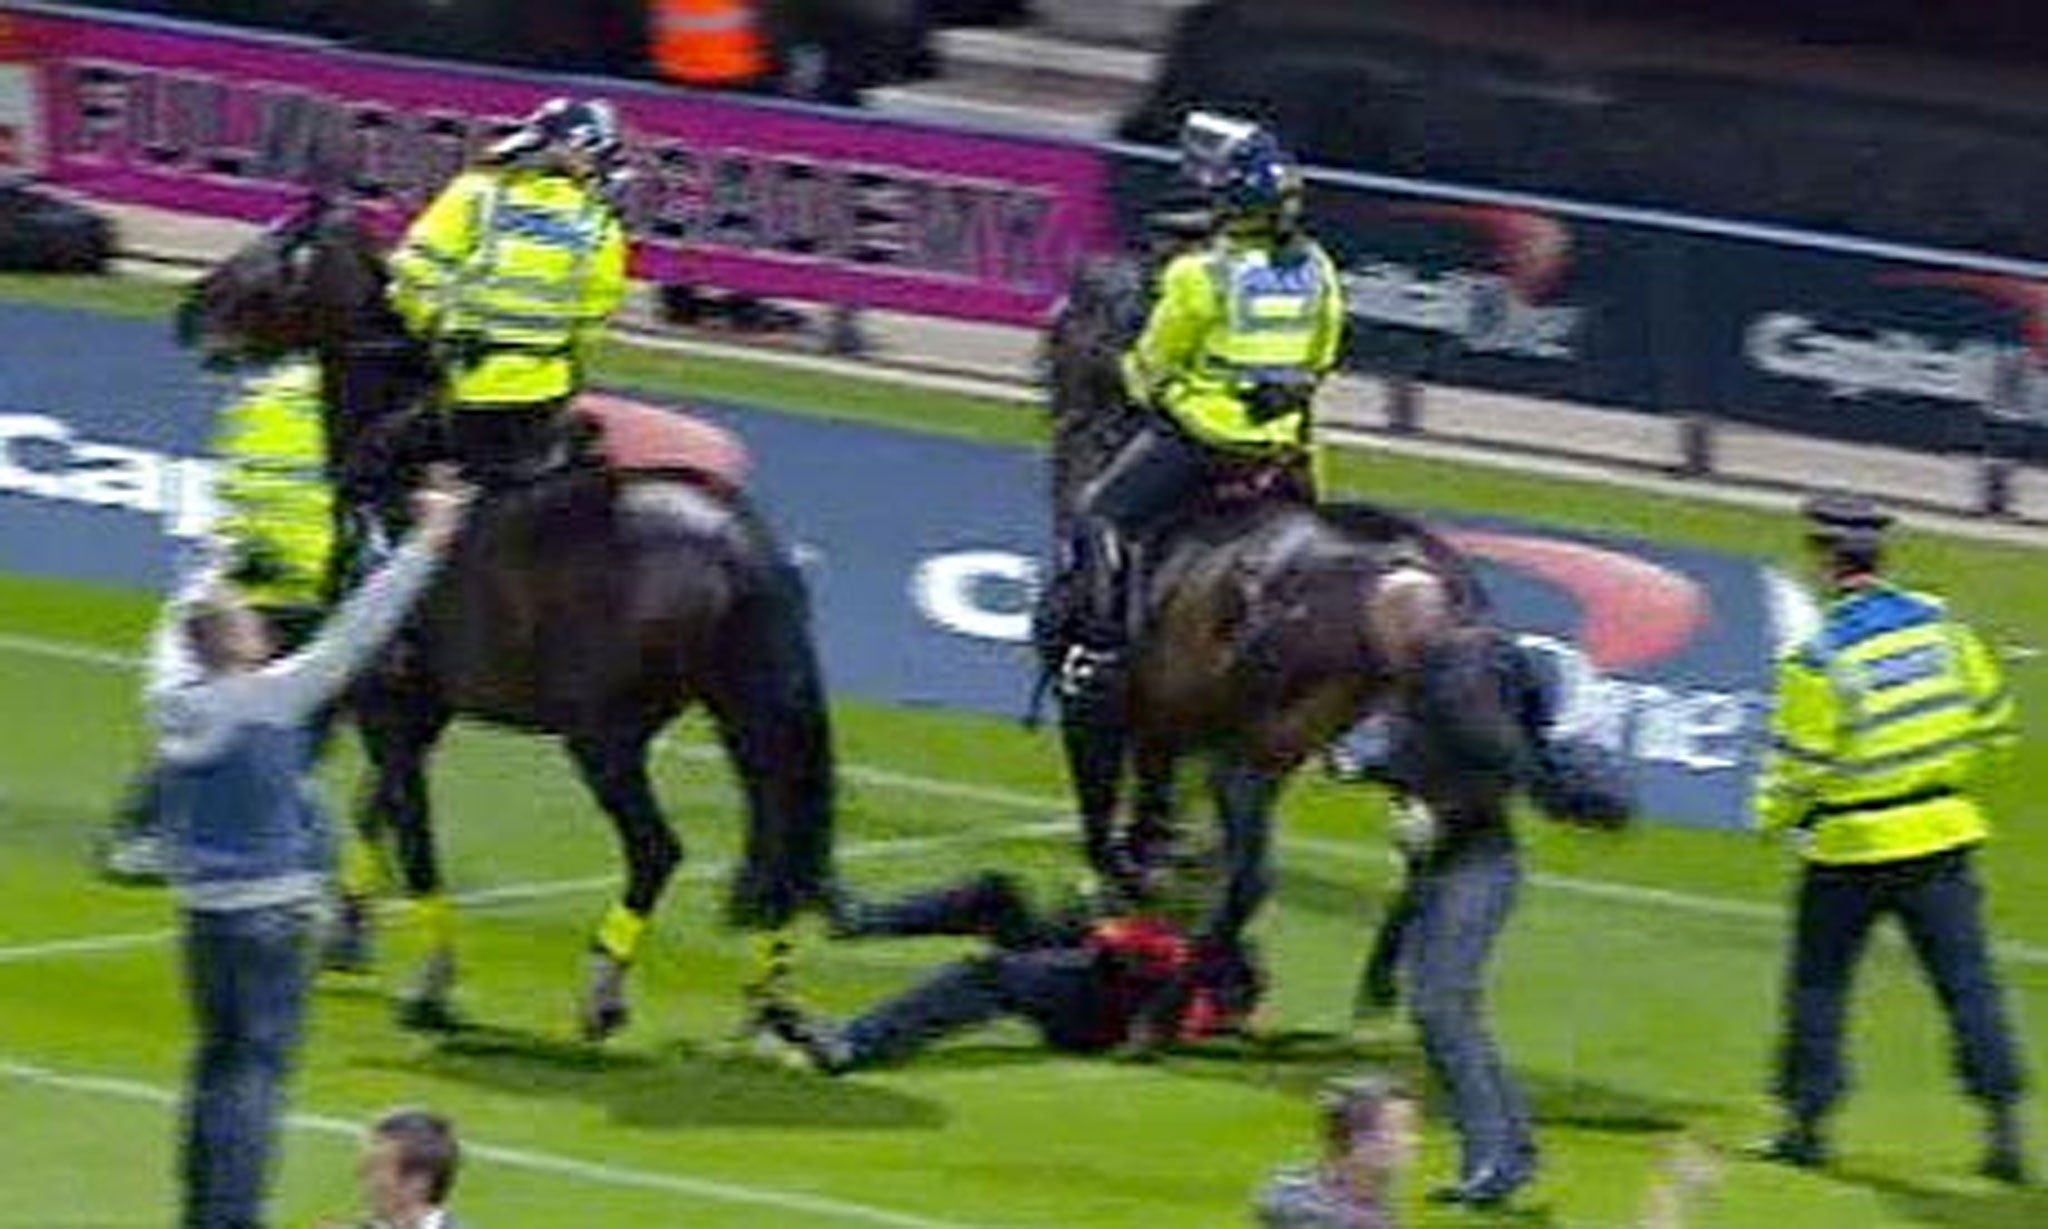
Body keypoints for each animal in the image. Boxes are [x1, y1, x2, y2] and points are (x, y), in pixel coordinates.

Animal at [180, 199, 835, 1036]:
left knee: (658, 849)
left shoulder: (386, 701)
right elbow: (378, 811)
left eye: (263, 259)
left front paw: (430, 982)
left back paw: (605, 988)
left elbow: (415, 836)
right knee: (783, 841)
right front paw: (346, 936)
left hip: (605, 737)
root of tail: (733, 535)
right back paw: (768, 1004)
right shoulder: (414, 710)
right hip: (745, 715)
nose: (190, 313)